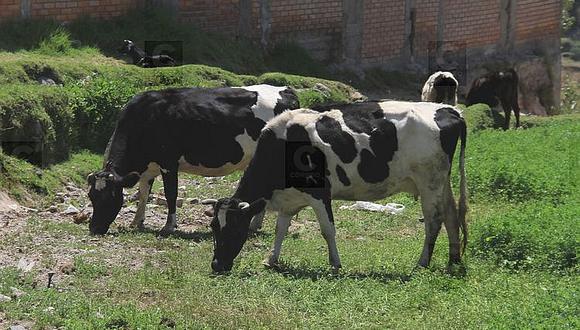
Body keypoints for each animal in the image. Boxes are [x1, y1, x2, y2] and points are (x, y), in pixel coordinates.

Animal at [89, 85, 304, 235]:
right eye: (92, 197)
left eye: (110, 197)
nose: (94, 228)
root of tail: (286, 90)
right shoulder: (148, 168)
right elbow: (143, 194)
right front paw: (136, 222)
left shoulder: (169, 163)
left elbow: (171, 194)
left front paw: (169, 226)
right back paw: (255, 225)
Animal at [204, 100, 466, 274]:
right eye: (214, 226)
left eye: (234, 227)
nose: (216, 265)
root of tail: (449, 109)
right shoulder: (290, 199)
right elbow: (281, 229)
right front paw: (271, 259)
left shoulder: (319, 194)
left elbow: (327, 230)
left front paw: (336, 264)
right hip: (441, 181)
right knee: (452, 215)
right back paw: (453, 260)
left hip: (429, 181)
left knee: (434, 221)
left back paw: (422, 263)